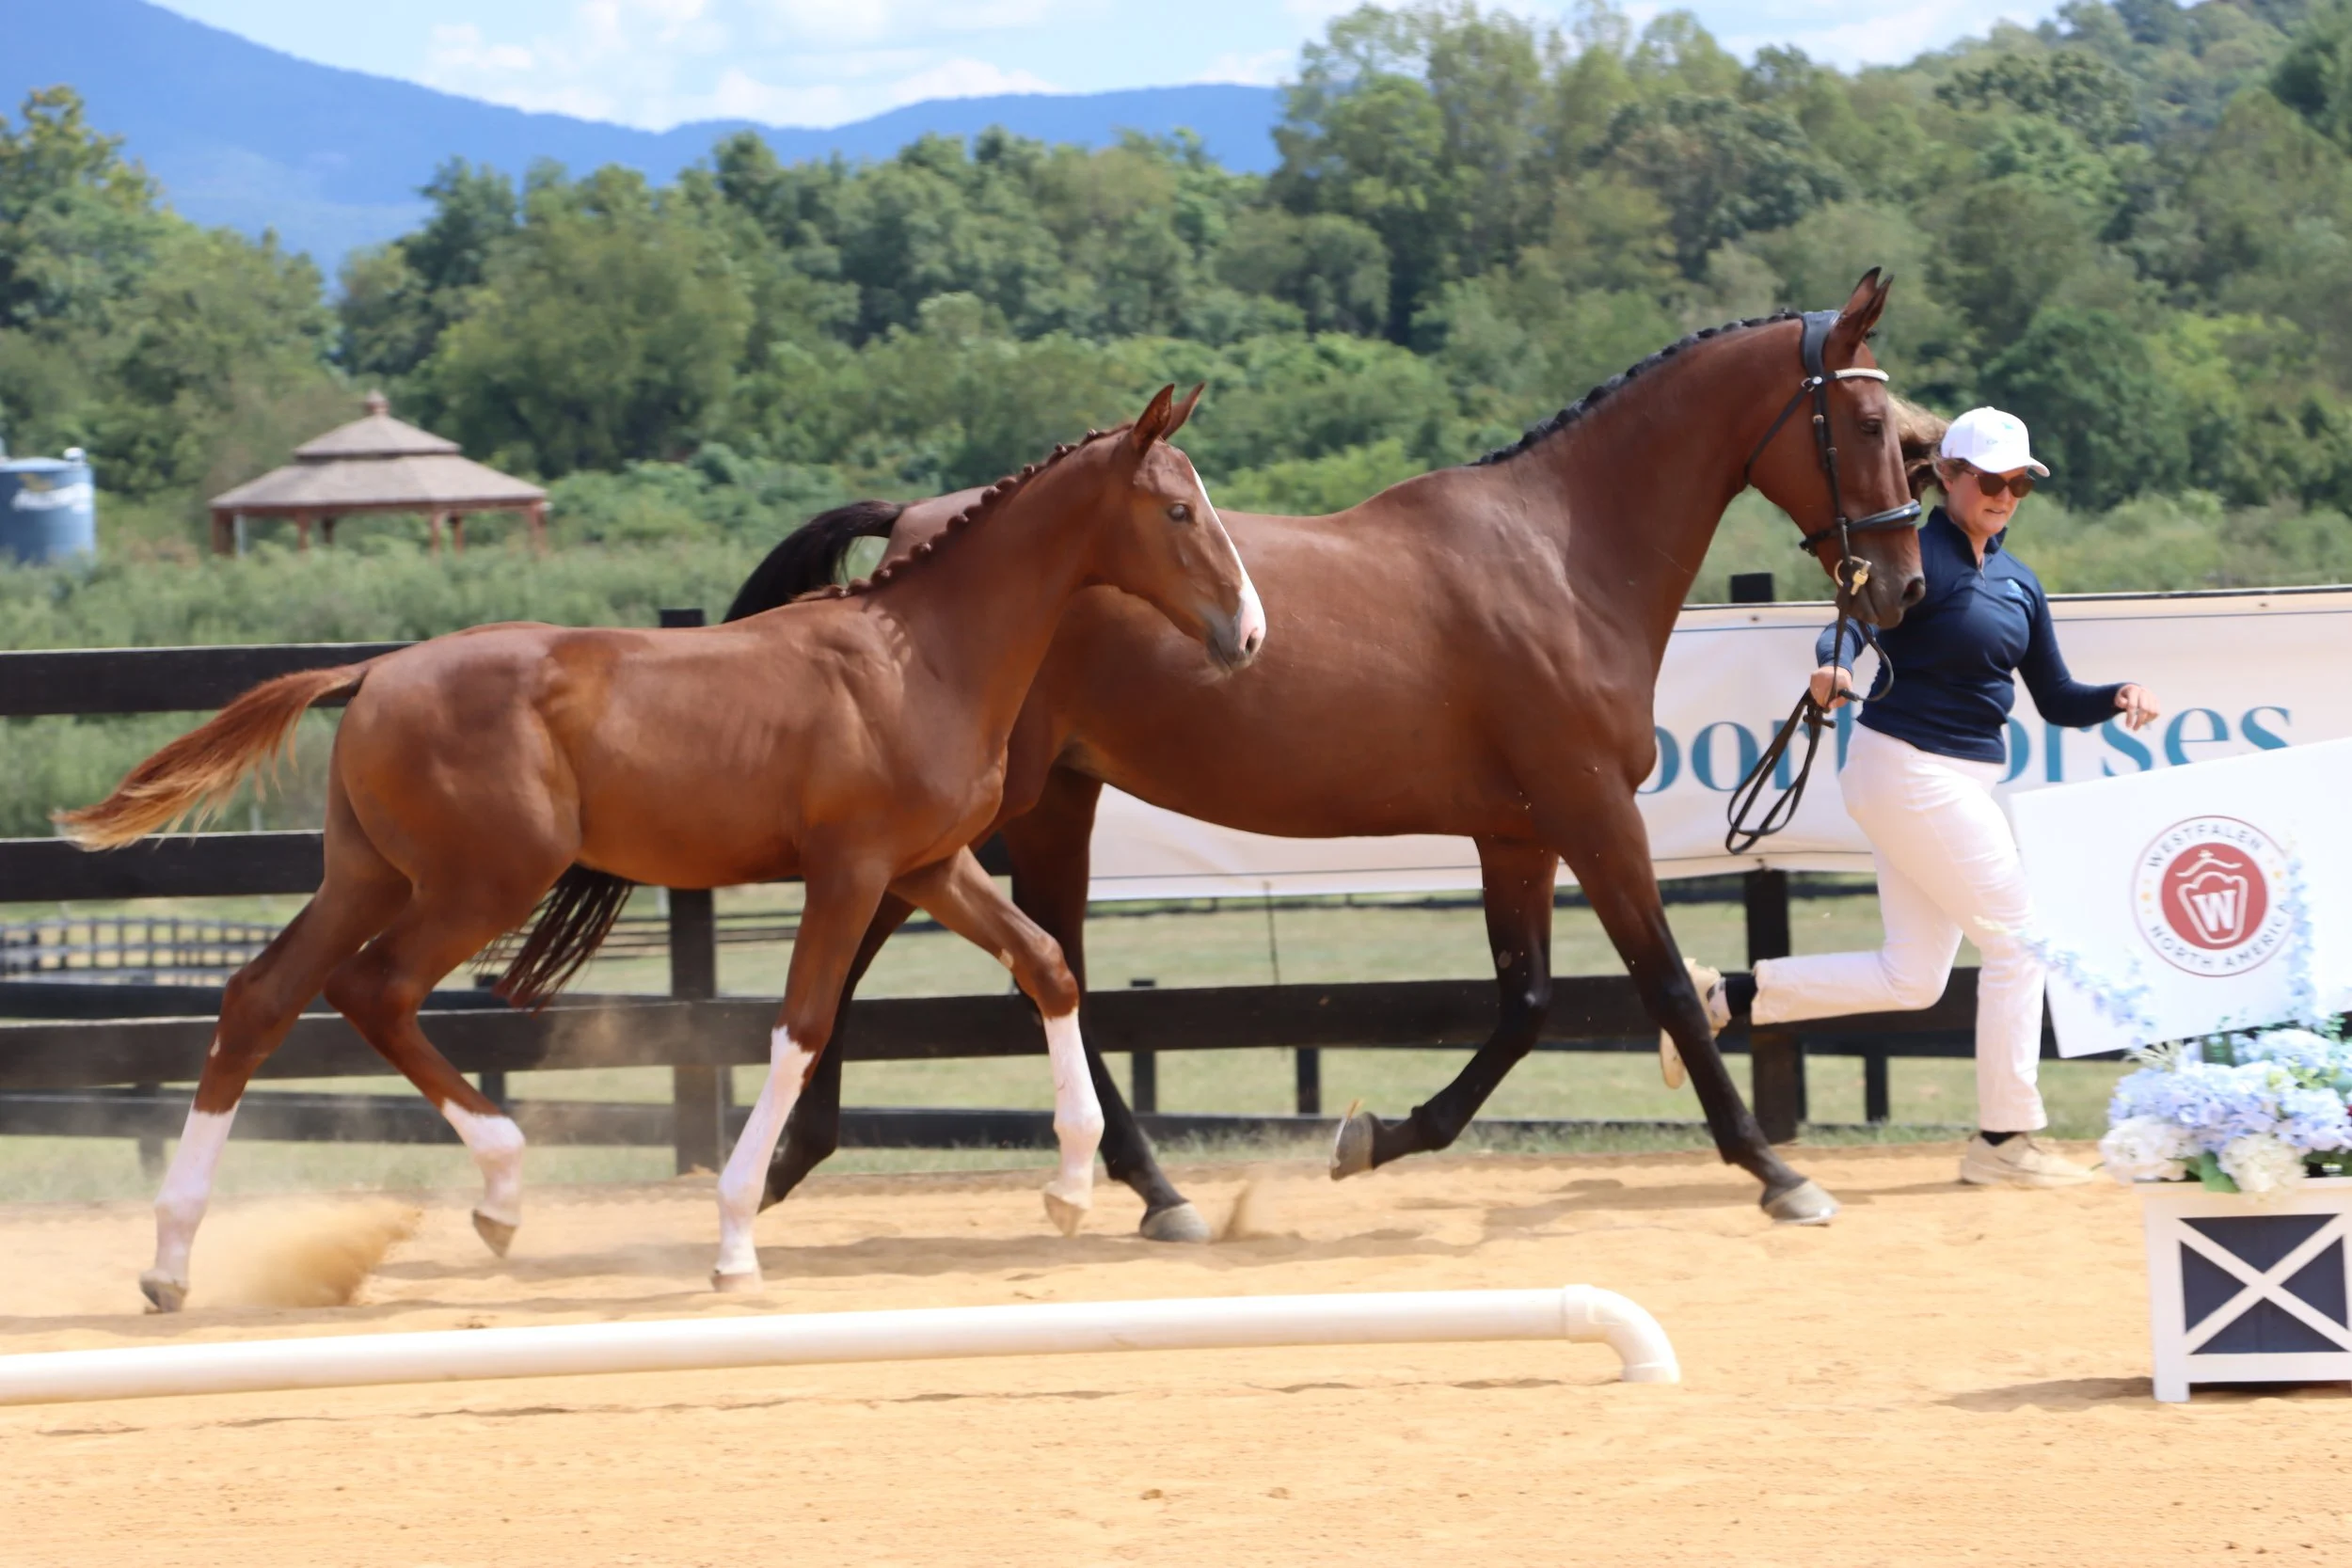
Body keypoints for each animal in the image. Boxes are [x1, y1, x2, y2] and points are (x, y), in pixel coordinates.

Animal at [57, 385, 1264, 1306]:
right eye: (1176, 508)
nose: (1247, 634)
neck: (918, 657)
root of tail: (373, 672)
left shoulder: (934, 866)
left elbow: (1046, 965)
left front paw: (1069, 1189)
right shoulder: (851, 872)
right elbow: (801, 1027)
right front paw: (733, 1242)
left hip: (367, 876)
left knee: (260, 997)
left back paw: (171, 1260)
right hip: (481, 882)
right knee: (374, 990)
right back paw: (499, 1189)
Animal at [547, 271, 1926, 1241]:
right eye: (1867, 418)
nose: (1905, 583)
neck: (1562, 555)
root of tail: (918, 531)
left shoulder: (1517, 830)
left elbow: (1526, 1003)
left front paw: (1374, 1136)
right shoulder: (1593, 812)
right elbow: (1661, 986)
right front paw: (1776, 1168)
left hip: (1038, 805)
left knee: (1014, 961)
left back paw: (1086, 1181)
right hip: (1004, 809)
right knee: (949, 958)